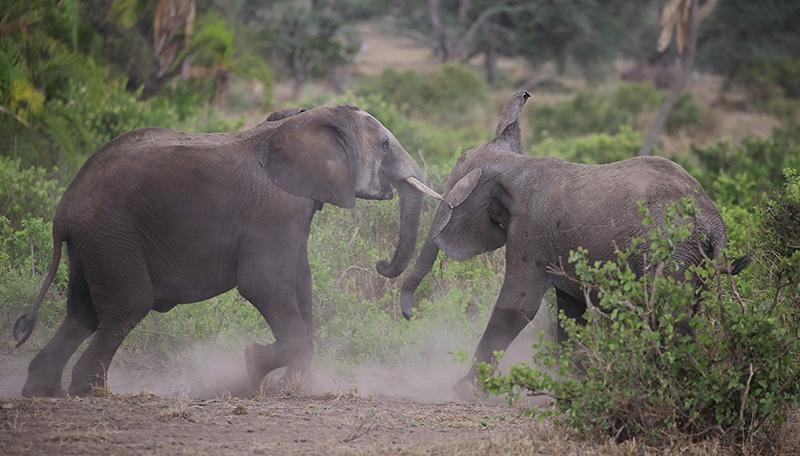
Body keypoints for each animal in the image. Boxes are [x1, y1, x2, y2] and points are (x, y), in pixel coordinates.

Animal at [10, 103, 438, 396]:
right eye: (384, 144)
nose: (381, 264)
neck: (299, 121)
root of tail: (63, 211)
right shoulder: (273, 211)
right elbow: (264, 285)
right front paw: (251, 366)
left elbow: (301, 284)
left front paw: (299, 385)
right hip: (113, 235)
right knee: (126, 306)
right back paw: (90, 391)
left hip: (92, 244)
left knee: (82, 313)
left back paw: (43, 390)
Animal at [404, 91, 736, 388]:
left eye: (453, 183)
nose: (408, 315)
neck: (515, 165)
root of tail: (713, 221)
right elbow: (571, 312)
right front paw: (570, 383)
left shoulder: (530, 232)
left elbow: (517, 305)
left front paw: (465, 388)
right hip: (692, 256)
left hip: (671, 252)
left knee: (670, 315)